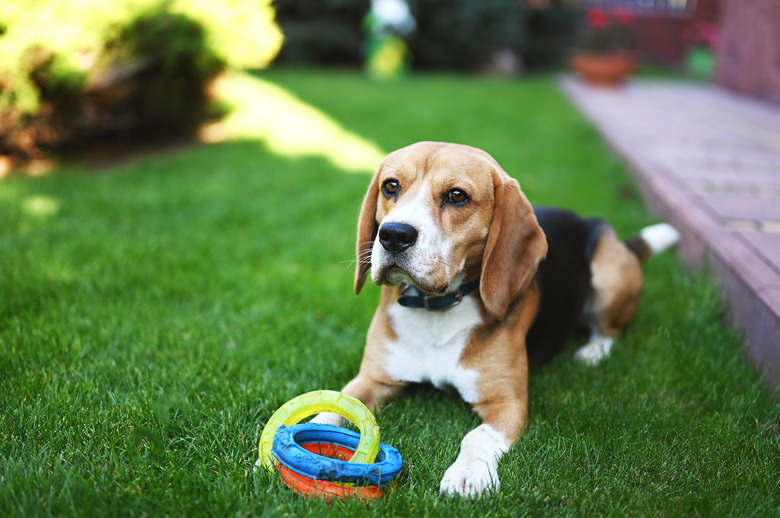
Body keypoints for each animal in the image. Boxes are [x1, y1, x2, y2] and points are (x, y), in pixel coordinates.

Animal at [314, 142, 680, 500]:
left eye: (457, 195)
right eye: (390, 186)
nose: (393, 234)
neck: (437, 309)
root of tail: (592, 222)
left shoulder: (508, 403)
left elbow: (476, 436)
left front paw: (467, 474)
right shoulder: (372, 379)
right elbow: (334, 407)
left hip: (609, 277)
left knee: (611, 330)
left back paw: (593, 351)